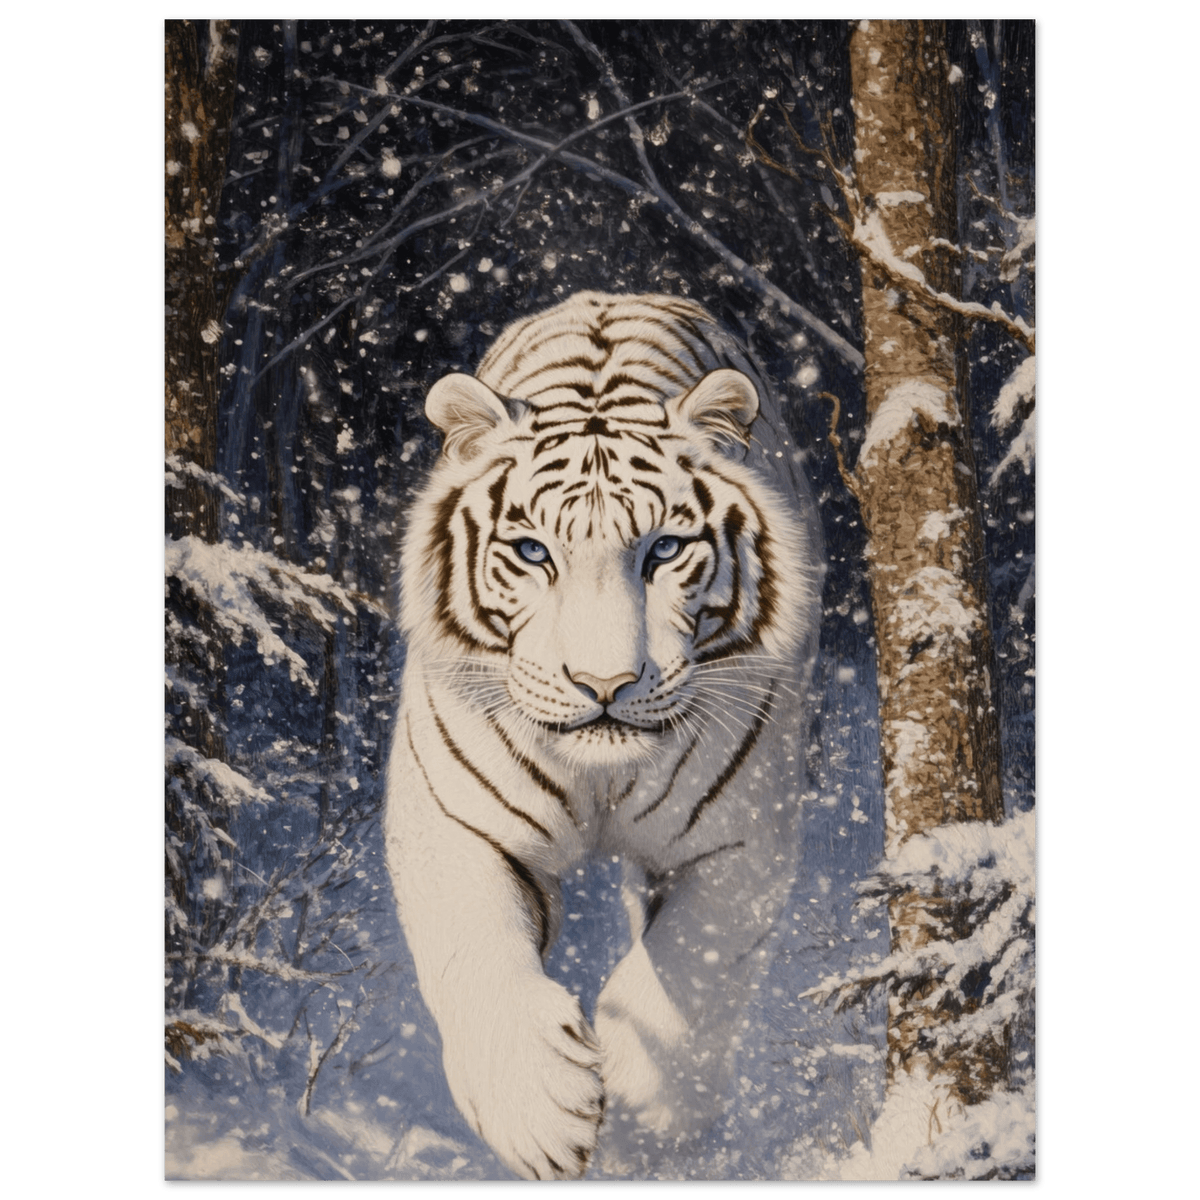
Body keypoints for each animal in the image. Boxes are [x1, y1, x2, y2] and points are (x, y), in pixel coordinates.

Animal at [384, 292, 823, 1179]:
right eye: (531, 552)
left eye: (665, 549)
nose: (604, 686)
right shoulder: (452, 820)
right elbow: (474, 948)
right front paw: (538, 1112)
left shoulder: (739, 838)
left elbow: (688, 973)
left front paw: (644, 1122)